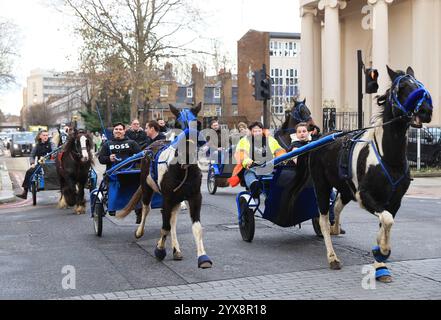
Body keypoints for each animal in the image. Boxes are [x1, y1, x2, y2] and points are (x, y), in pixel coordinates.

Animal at [117, 104, 213, 268]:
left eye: (198, 124)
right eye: (178, 125)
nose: (188, 150)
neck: (183, 168)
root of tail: (152, 146)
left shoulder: (194, 196)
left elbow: (195, 227)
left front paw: (203, 257)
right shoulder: (167, 197)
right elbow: (165, 226)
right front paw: (160, 250)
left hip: (177, 198)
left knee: (172, 219)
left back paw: (176, 249)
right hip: (147, 187)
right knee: (147, 208)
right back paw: (140, 231)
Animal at [308, 66, 432, 282]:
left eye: (419, 84)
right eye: (402, 87)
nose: (426, 110)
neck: (388, 157)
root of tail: (322, 136)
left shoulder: (394, 200)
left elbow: (385, 224)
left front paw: (380, 261)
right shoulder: (365, 196)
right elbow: (387, 220)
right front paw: (382, 251)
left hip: (345, 189)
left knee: (336, 208)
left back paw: (335, 228)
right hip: (321, 185)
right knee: (322, 218)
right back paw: (332, 256)